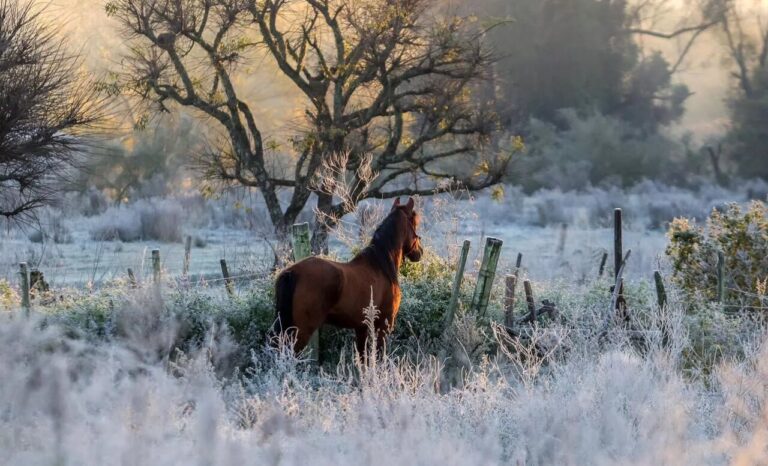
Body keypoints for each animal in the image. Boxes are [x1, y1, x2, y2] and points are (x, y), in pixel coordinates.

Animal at [272, 196, 426, 354]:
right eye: (415, 222)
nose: (419, 252)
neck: (380, 264)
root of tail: (292, 272)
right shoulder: (383, 326)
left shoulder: (361, 328)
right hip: (301, 332)